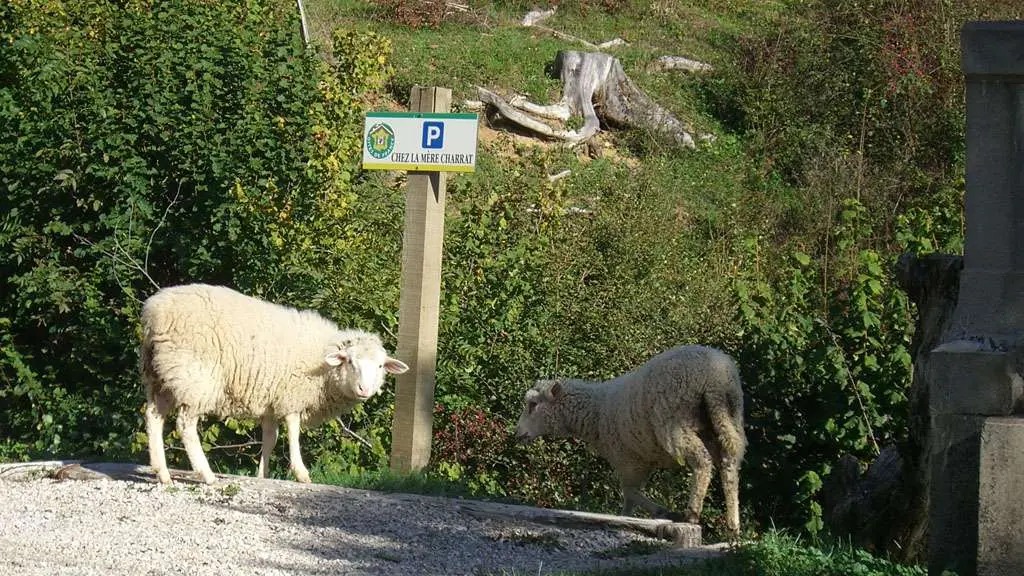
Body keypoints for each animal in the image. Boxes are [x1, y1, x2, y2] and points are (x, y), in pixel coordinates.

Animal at [141, 282, 411, 483]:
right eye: (351, 362)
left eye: (380, 366)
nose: (364, 390)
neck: (323, 362)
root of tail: (154, 313)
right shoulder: (292, 394)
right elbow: (293, 431)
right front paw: (301, 473)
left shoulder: (270, 400)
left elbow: (270, 438)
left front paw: (263, 474)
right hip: (194, 378)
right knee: (185, 425)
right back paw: (206, 475)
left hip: (161, 376)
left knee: (153, 416)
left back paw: (163, 474)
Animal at [516, 342, 749, 532]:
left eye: (533, 405)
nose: (518, 433)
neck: (595, 413)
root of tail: (715, 378)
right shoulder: (641, 461)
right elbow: (630, 497)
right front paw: (626, 517)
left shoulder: (629, 460)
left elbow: (629, 493)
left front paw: (659, 513)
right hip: (725, 417)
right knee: (729, 464)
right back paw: (733, 526)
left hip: (675, 422)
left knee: (703, 461)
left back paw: (692, 514)